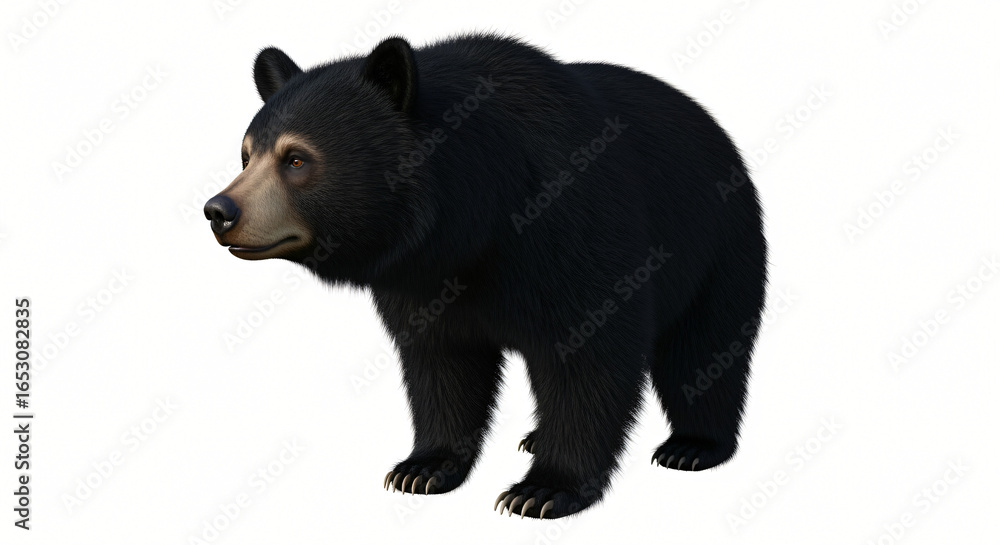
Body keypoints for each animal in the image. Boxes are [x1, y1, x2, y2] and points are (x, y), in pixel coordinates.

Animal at [203, 33, 767, 519]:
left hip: (716, 239)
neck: (475, 222)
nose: (219, 210)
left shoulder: (574, 225)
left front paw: (543, 489)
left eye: (296, 159)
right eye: (247, 154)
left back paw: (692, 446)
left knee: (705, 344)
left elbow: (591, 356)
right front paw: (423, 467)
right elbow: (442, 362)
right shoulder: (420, 280)